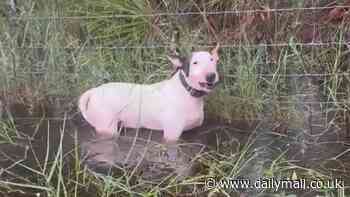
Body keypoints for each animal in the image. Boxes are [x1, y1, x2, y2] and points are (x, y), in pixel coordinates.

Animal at [78, 45, 220, 146]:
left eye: (212, 60)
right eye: (195, 63)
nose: (211, 76)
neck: (187, 92)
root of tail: (94, 91)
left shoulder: (194, 131)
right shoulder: (171, 136)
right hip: (107, 128)